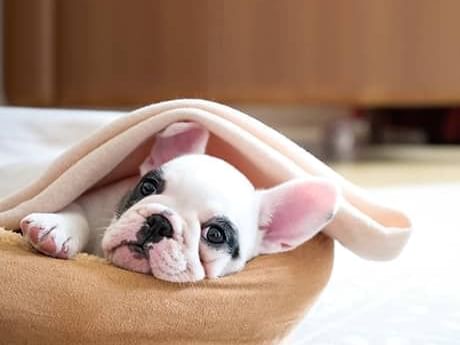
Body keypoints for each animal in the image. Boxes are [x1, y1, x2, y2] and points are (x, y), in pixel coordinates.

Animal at [18, 122, 338, 280]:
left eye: (215, 234)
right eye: (147, 186)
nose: (159, 223)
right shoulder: (94, 200)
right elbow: (77, 210)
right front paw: (56, 229)